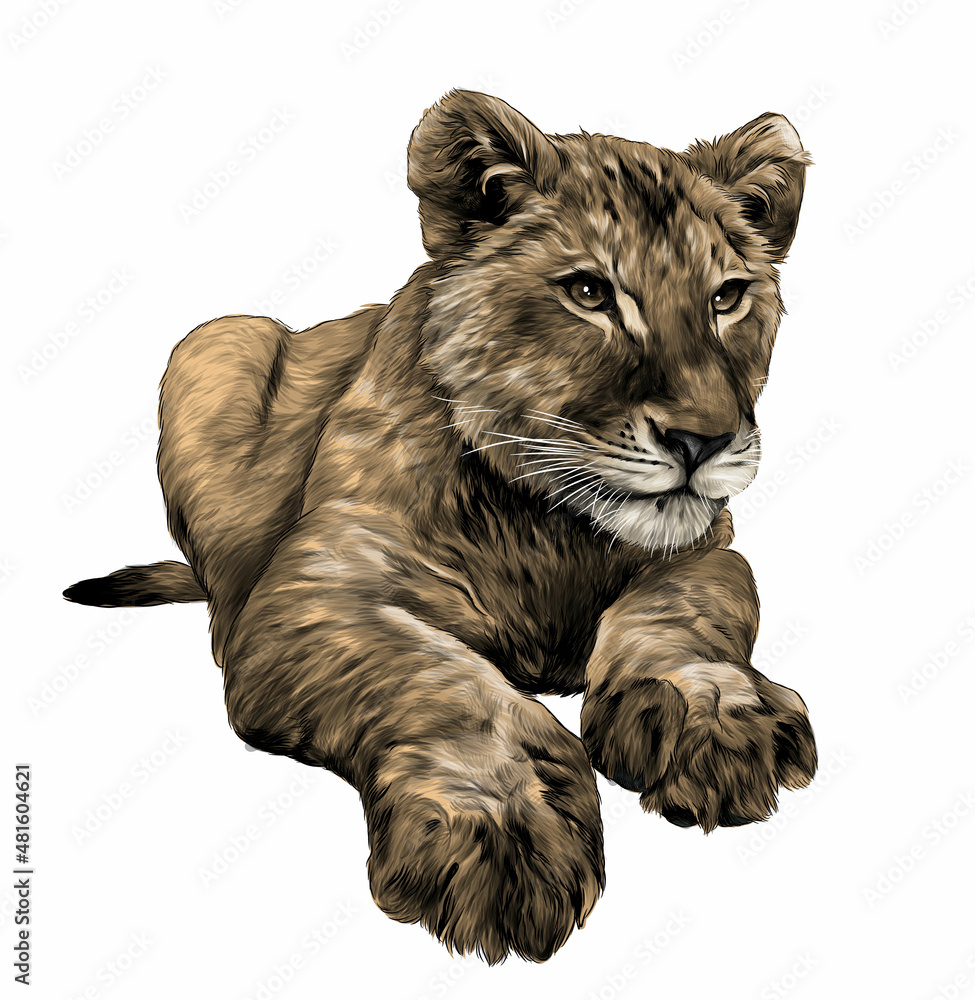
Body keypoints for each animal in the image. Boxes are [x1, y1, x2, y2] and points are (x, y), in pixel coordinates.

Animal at [65, 90, 817, 964]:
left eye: (726, 297)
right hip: (217, 340)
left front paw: (718, 719)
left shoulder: (706, 551)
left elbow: (680, 615)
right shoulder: (311, 591)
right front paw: (503, 826)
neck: (548, 524)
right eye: (588, 293)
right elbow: (441, 676)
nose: (703, 441)